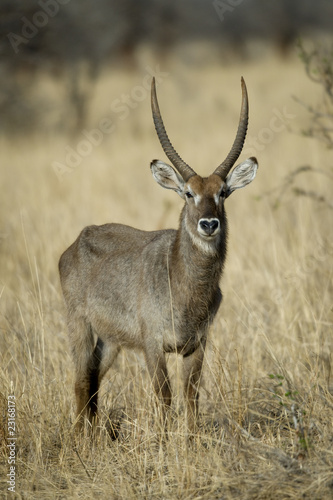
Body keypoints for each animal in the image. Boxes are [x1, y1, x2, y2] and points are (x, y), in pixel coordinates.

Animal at [59, 77, 256, 434]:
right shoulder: (153, 345)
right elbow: (164, 396)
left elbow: (191, 396)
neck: (185, 283)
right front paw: (165, 442)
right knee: (81, 381)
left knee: (93, 379)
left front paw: (191, 441)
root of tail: (79, 239)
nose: (209, 224)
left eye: (222, 192)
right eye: (188, 193)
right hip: (79, 324)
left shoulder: (198, 344)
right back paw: (80, 440)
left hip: (111, 340)